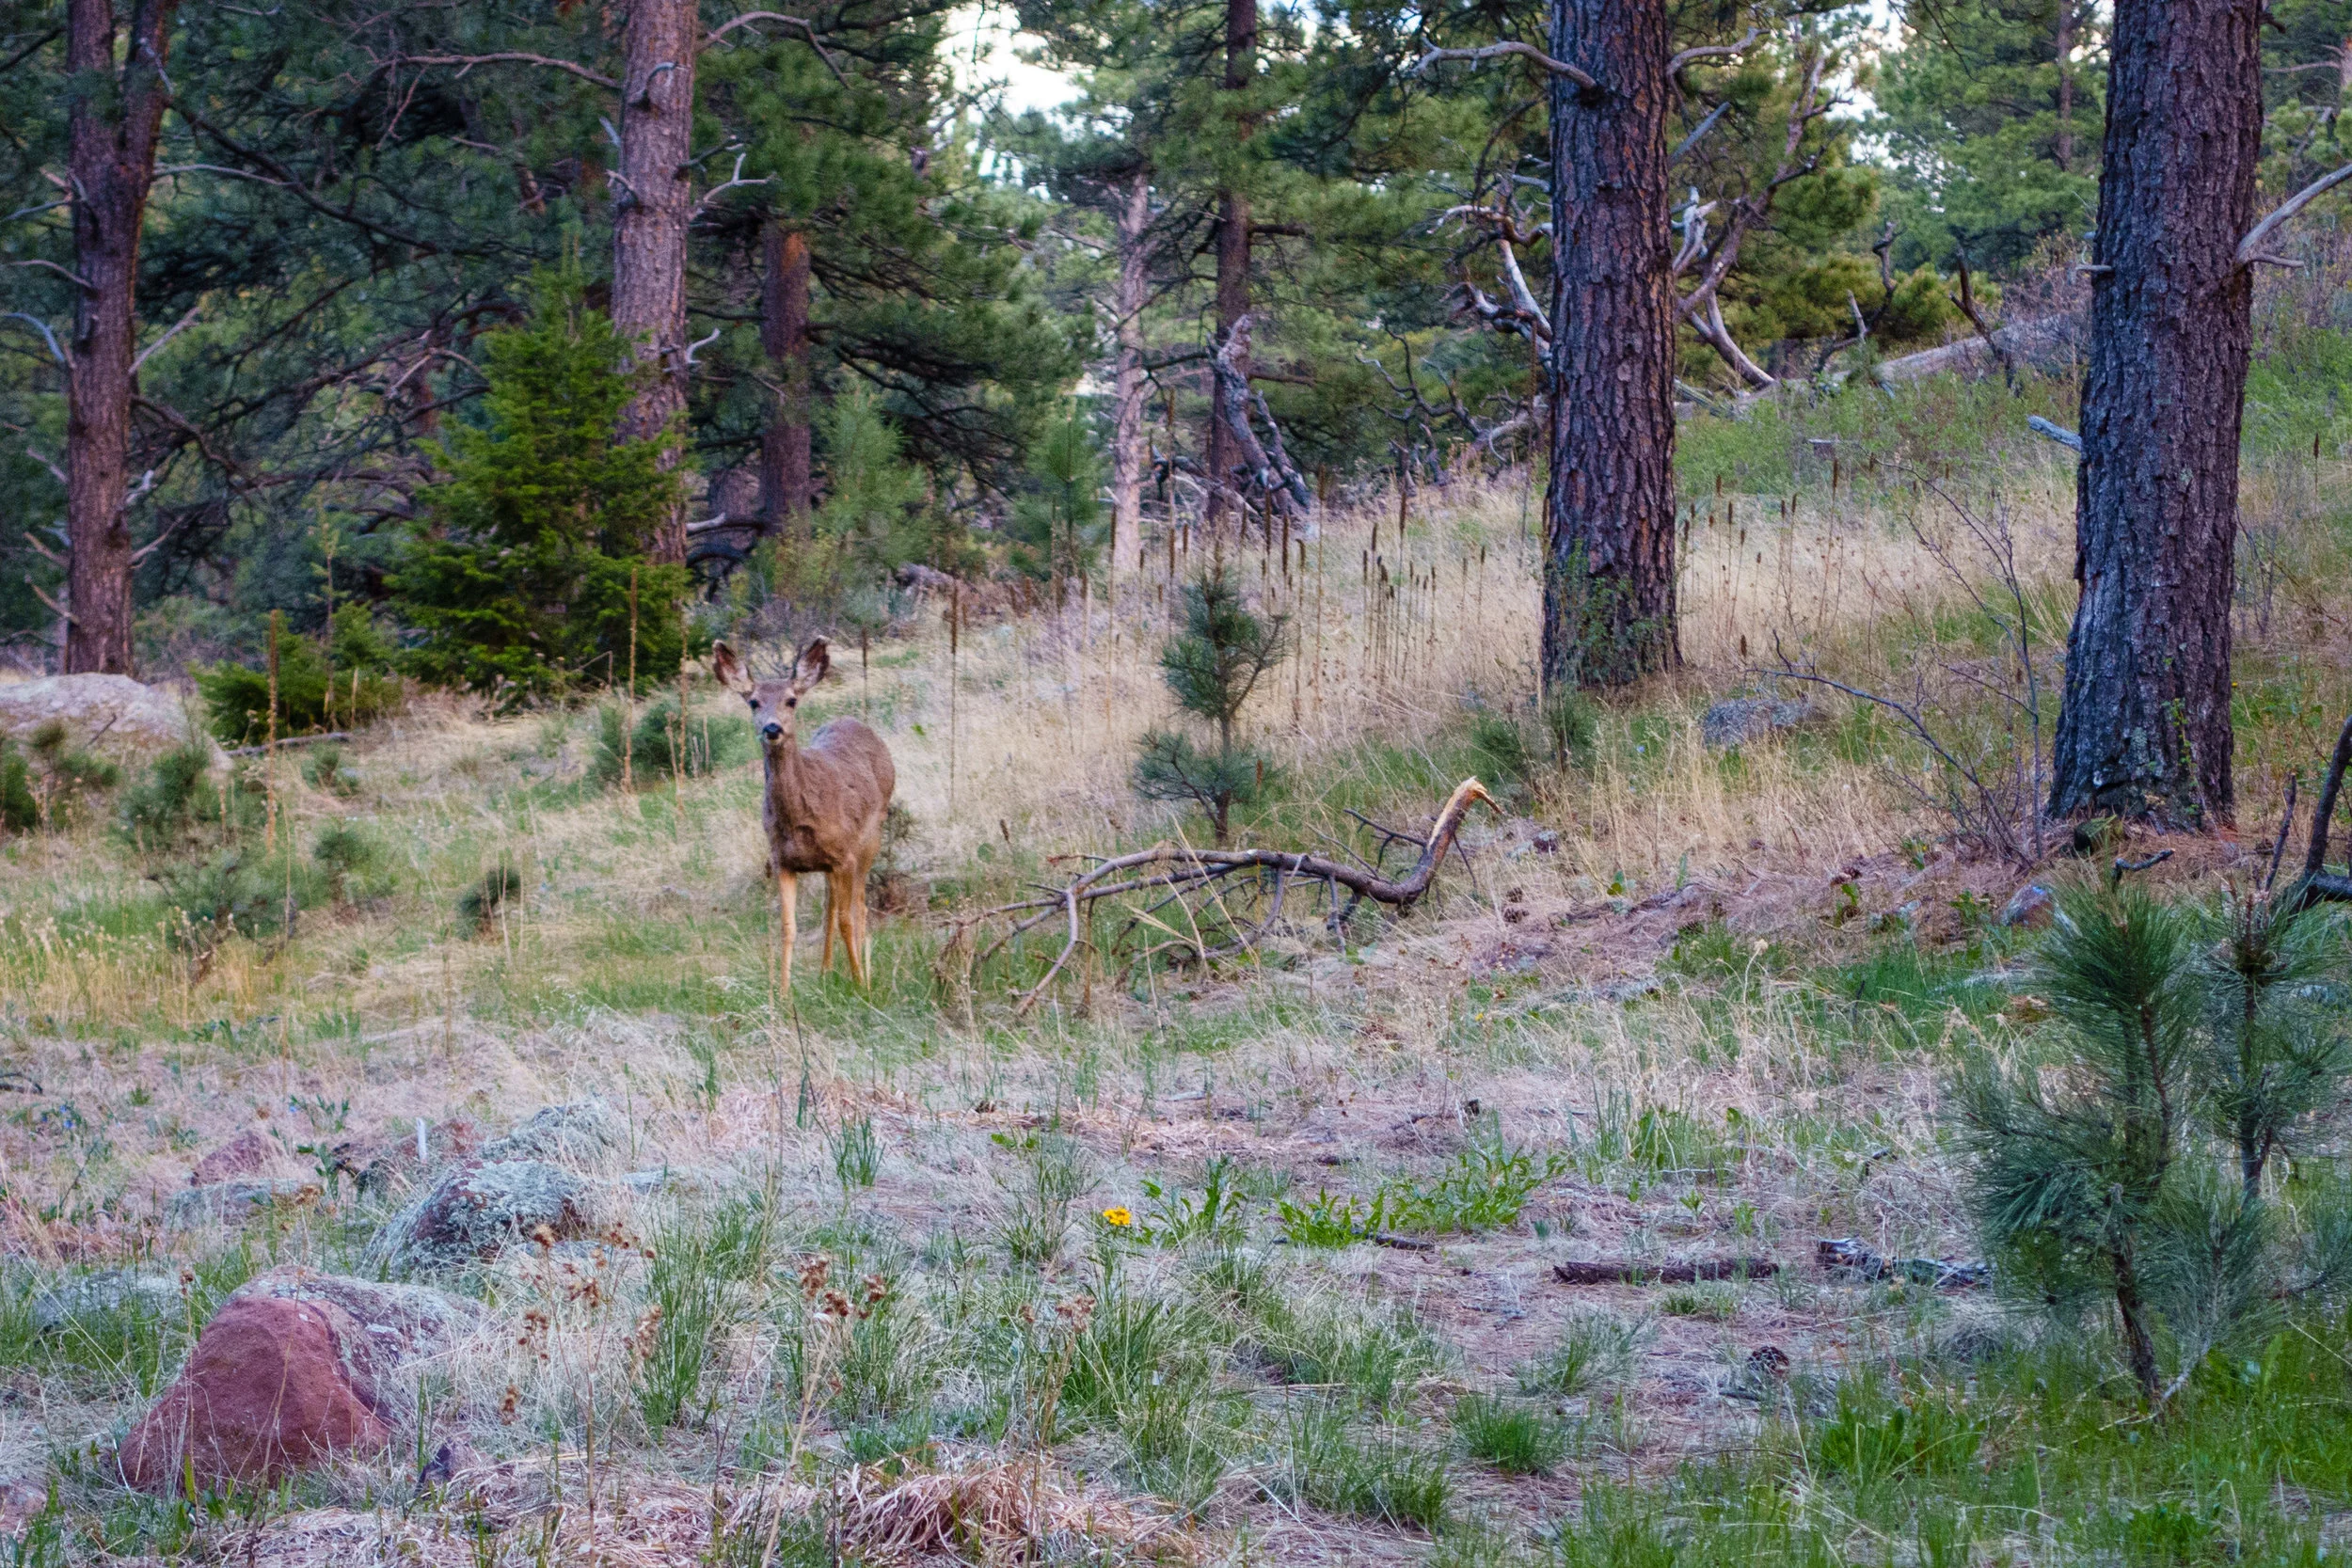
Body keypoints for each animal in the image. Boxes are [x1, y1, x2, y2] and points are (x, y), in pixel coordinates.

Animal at [701, 639, 894, 991]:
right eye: (753, 702)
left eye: (791, 700)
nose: (772, 728)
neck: (800, 816)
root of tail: (857, 723)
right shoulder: (783, 861)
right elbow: (788, 927)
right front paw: (784, 991)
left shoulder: (844, 855)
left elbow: (847, 919)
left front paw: (859, 983)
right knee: (831, 904)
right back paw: (826, 971)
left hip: (871, 838)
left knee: (859, 905)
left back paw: (865, 971)